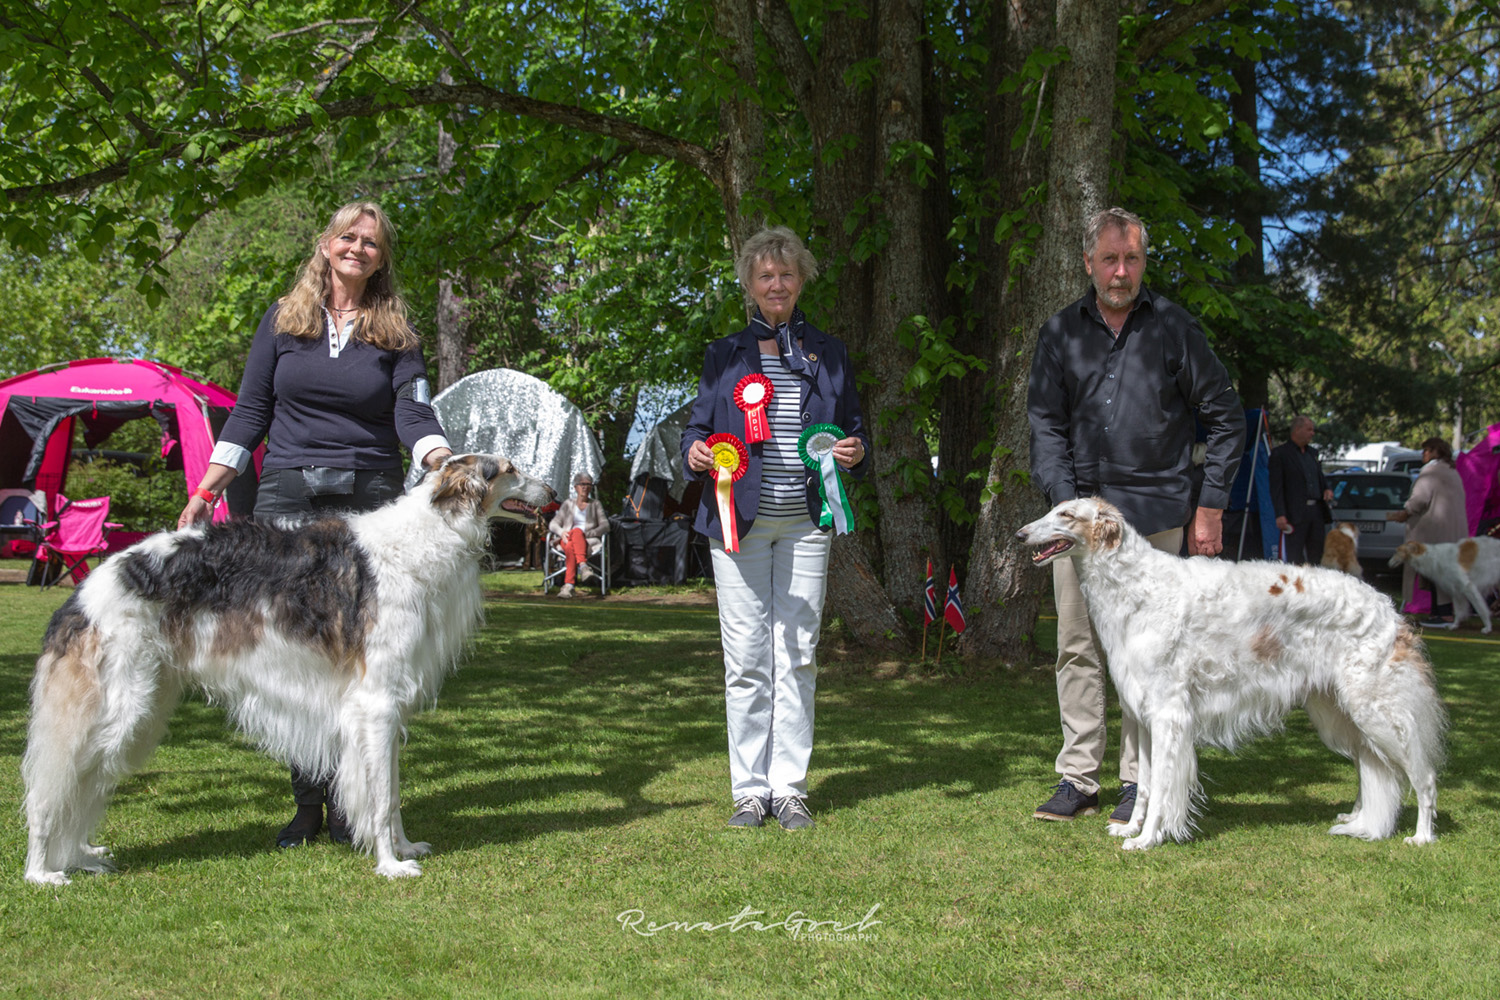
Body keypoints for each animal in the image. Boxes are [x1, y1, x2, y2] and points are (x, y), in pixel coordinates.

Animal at [23, 452, 555, 881]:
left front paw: (404, 848)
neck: (427, 533)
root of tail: (83, 593)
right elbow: (382, 799)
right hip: (116, 711)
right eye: (509, 468)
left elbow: (392, 794)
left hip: (142, 707)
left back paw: (79, 855)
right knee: (52, 788)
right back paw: (42, 872)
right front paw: (390, 865)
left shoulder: (385, 708)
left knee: (81, 787)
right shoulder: (377, 704)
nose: (553, 492)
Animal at [1014, 500, 1446, 851]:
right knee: (1369, 770)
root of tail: (1389, 610)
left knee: (1423, 777)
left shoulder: (1169, 715)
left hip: (1377, 712)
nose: (1019, 534)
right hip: (1340, 714)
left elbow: (1162, 789)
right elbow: (1145, 788)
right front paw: (1130, 828)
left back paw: (1422, 835)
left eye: (1066, 515)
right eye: (1053, 508)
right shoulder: (1143, 715)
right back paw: (1356, 817)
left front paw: (1147, 839)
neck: (1138, 587)